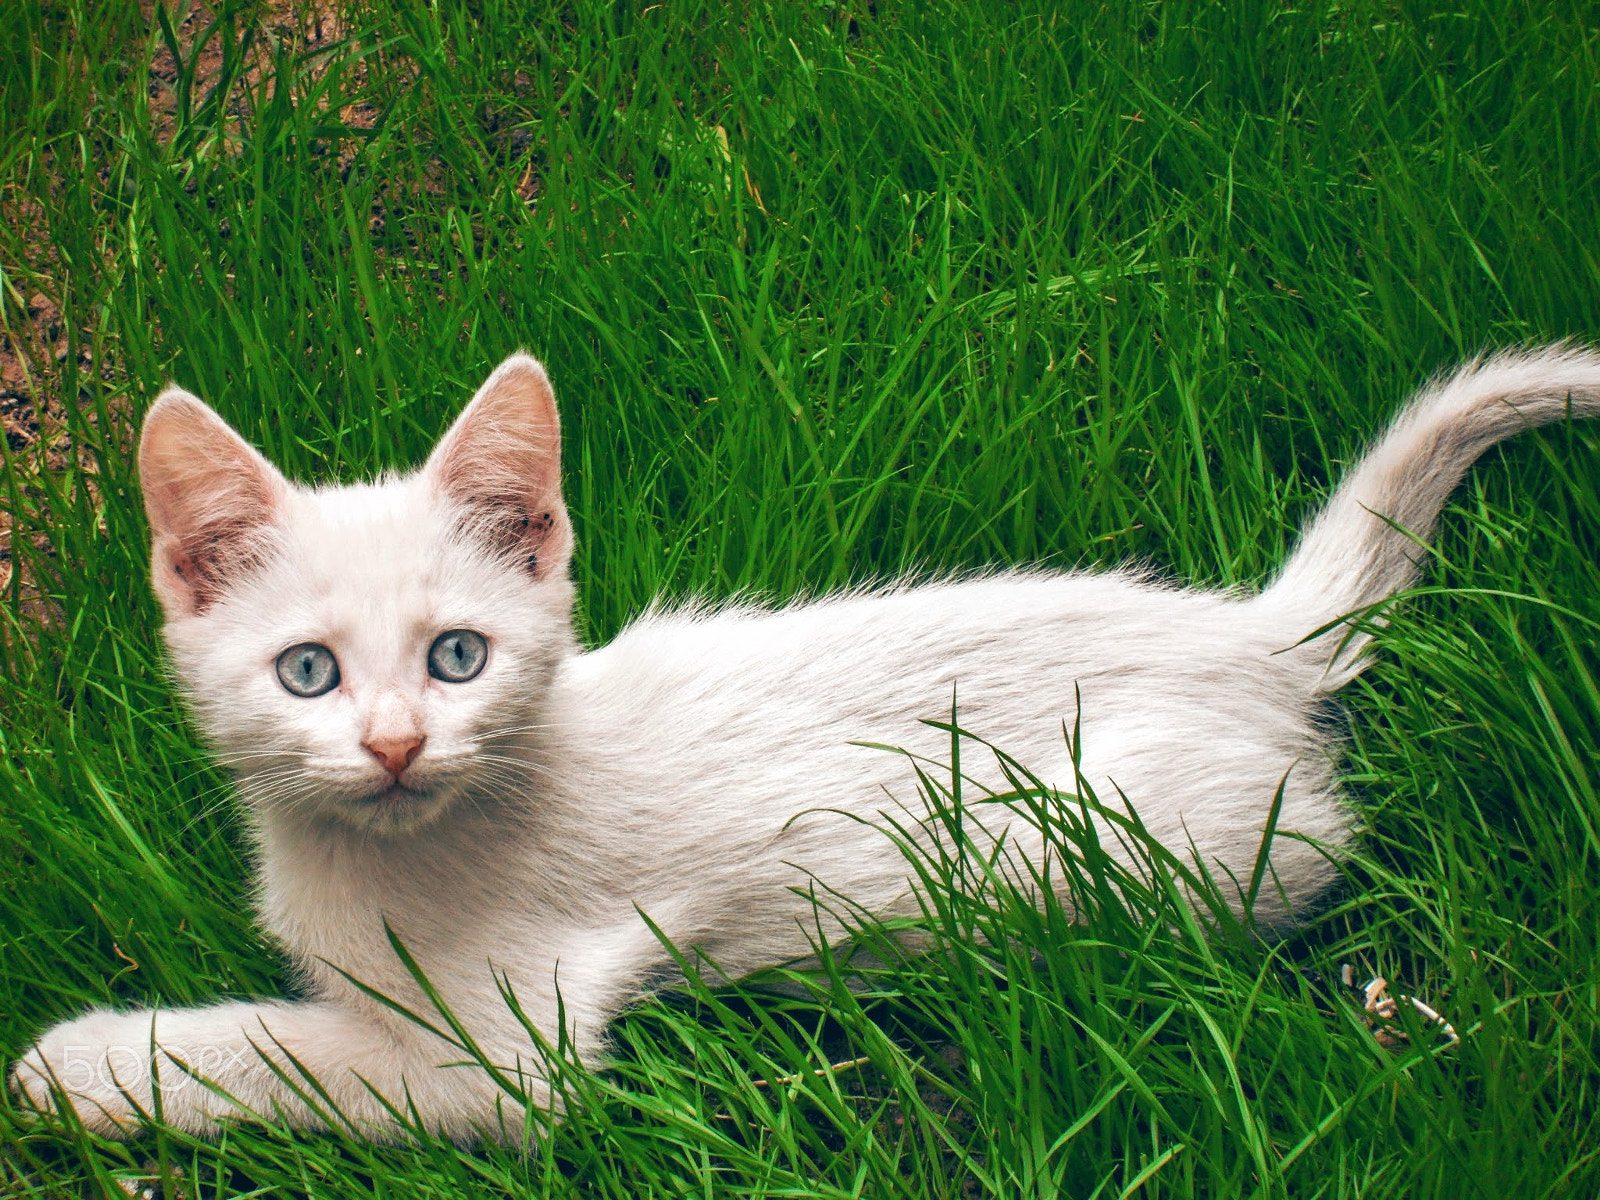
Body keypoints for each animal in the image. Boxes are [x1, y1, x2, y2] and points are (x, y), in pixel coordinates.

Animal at [12, 347, 1600, 1145]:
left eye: (457, 656)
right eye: (309, 673)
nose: (398, 745)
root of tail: (1244, 640)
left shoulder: (504, 1049)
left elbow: (298, 1058)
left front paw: (83, 1069)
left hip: (1125, 854)